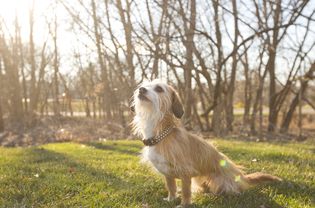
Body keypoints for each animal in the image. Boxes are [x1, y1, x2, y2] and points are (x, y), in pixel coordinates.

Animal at [131, 79, 282, 206]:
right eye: (143, 85)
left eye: (159, 88)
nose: (141, 89)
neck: (161, 135)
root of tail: (241, 177)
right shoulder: (167, 173)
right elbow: (171, 187)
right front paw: (171, 200)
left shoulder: (186, 172)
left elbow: (185, 191)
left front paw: (184, 205)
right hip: (199, 178)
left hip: (219, 180)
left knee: (230, 192)